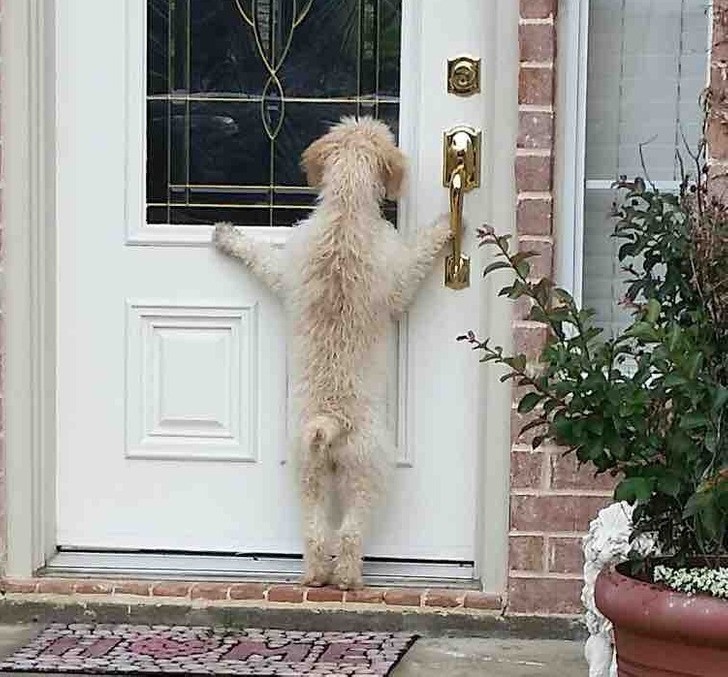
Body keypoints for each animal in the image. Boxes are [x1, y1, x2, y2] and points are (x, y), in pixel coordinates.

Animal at [212, 116, 450, 588]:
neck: (346, 210)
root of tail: (328, 422)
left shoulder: (286, 271)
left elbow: (262, 257)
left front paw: (229, 236)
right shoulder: (398, 276)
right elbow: (419, 255)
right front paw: (450, 223)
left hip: (308, 474)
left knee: (316, 532)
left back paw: (314, 576)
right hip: (367, 470)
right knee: (351, 531)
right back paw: (348, 578)